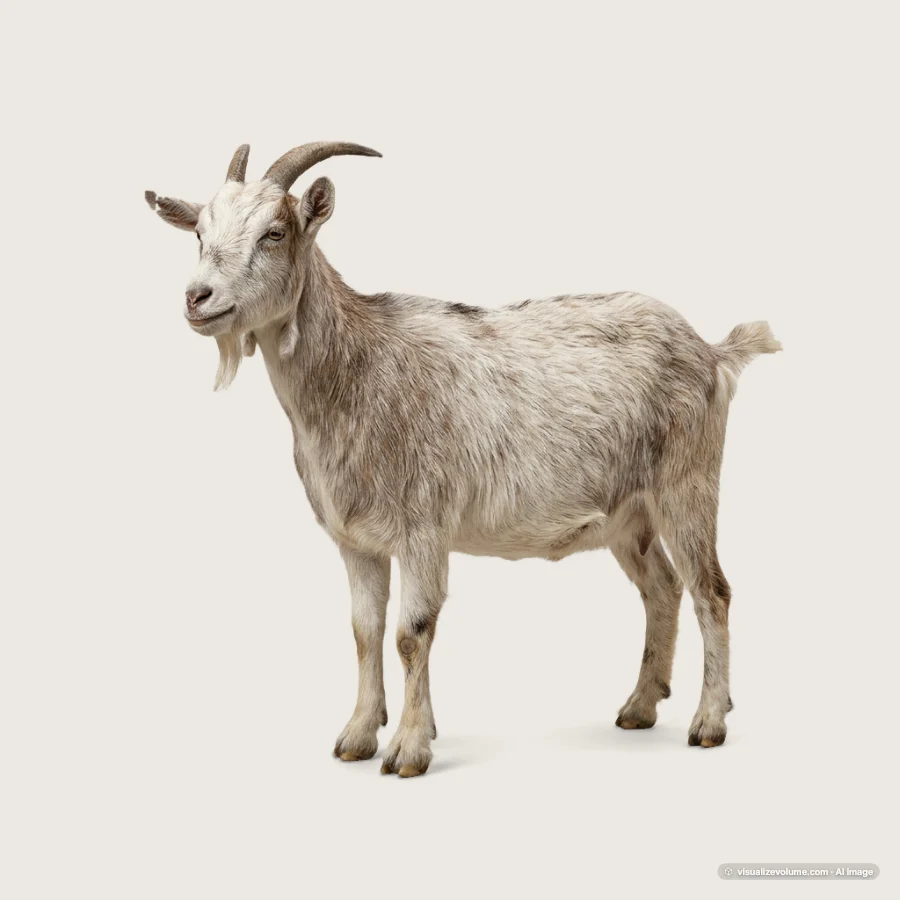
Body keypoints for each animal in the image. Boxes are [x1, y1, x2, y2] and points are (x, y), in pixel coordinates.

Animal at [147, 142, 780, 777]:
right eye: (199, 232)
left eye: (274, 232)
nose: (196, 298)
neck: (359, 369)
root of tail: (712, 352)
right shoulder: (356, 541)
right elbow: (364, 631)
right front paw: (358, 736)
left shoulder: (424, 527)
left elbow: (411, 633)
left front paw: (407, 750)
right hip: (629, 516)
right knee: (663, 589)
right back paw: (640, 706)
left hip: (686, 483)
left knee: (711, 590)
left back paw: (708, 722)